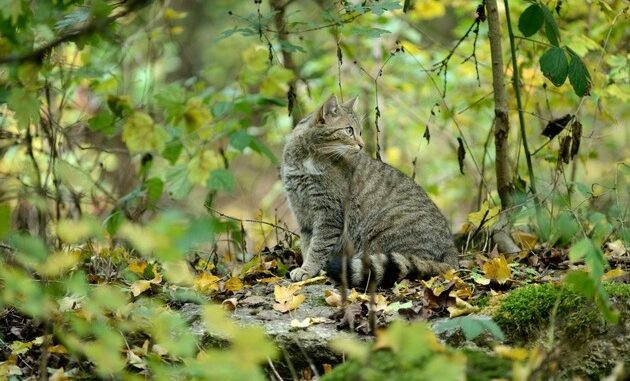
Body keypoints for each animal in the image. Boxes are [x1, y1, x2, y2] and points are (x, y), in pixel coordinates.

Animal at [282, 95, 460, 288]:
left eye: (359, 132)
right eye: (349, 130)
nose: (362, 144)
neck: (305, 160)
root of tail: (452, 255)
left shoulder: (329, 214)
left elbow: (317, 247)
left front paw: (308, 269)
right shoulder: (301, 212)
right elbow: (307, 244)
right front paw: (306, 268)